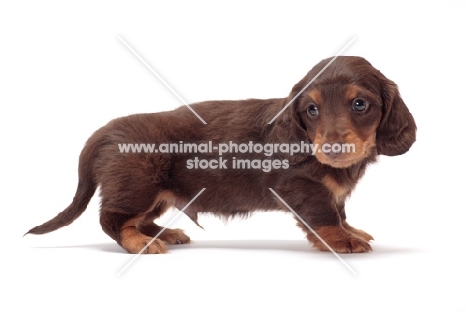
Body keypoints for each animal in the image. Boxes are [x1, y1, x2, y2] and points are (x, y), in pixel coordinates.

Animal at [27, 56, 416, 256]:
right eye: (312, 109)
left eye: (360, 104)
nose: (334, 147)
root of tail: (105, 132)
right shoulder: (301, 187)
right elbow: (325, 216)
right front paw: (341, 239)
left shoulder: (331, 191)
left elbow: (340, 210)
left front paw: (351, 230)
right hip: (138, 186)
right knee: (113, 219)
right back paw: (140, 243)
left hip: (158, 195)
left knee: (138, 219)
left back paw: (163, 233)